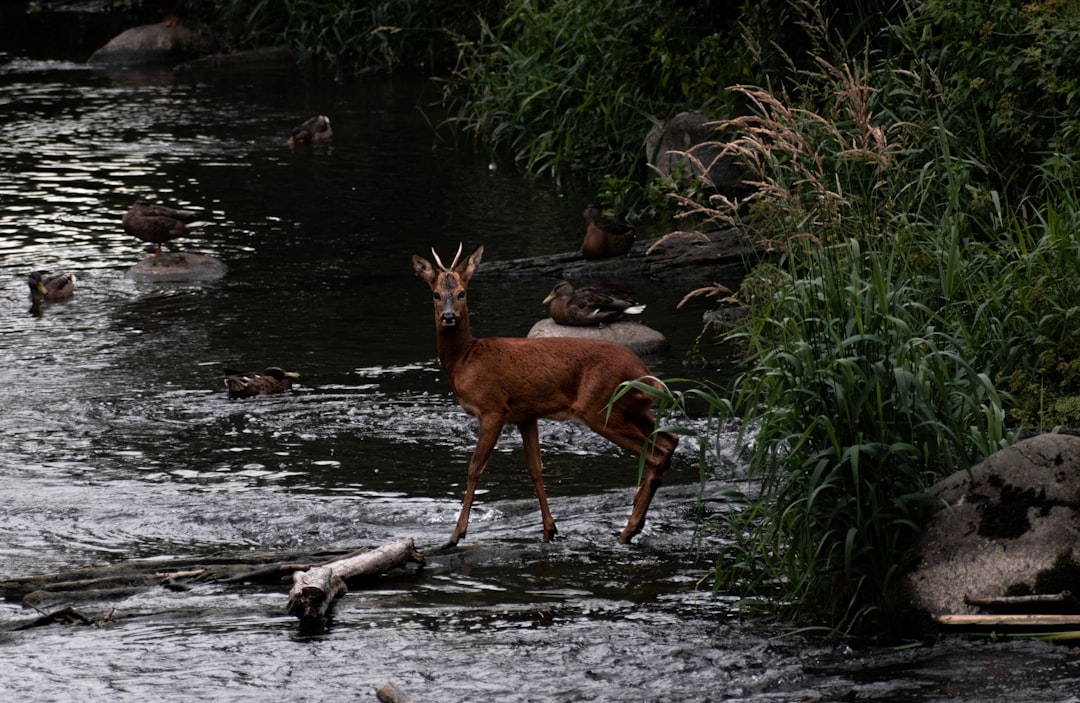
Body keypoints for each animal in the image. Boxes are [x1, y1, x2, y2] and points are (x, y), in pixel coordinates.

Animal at [410, 245, 673, 546]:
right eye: (436, 294)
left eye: (462, 292)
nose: (449, 317)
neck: (465, 359)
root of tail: (645, 373)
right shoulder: (526, 414)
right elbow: (535, 468)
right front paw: (549, 529)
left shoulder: (493, 408)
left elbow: (475, 467)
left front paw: (456, 535)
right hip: (634, 410)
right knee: (669, 441)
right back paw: (635, 519)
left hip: (600, 408)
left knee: (655, 453)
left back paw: (629, 529)